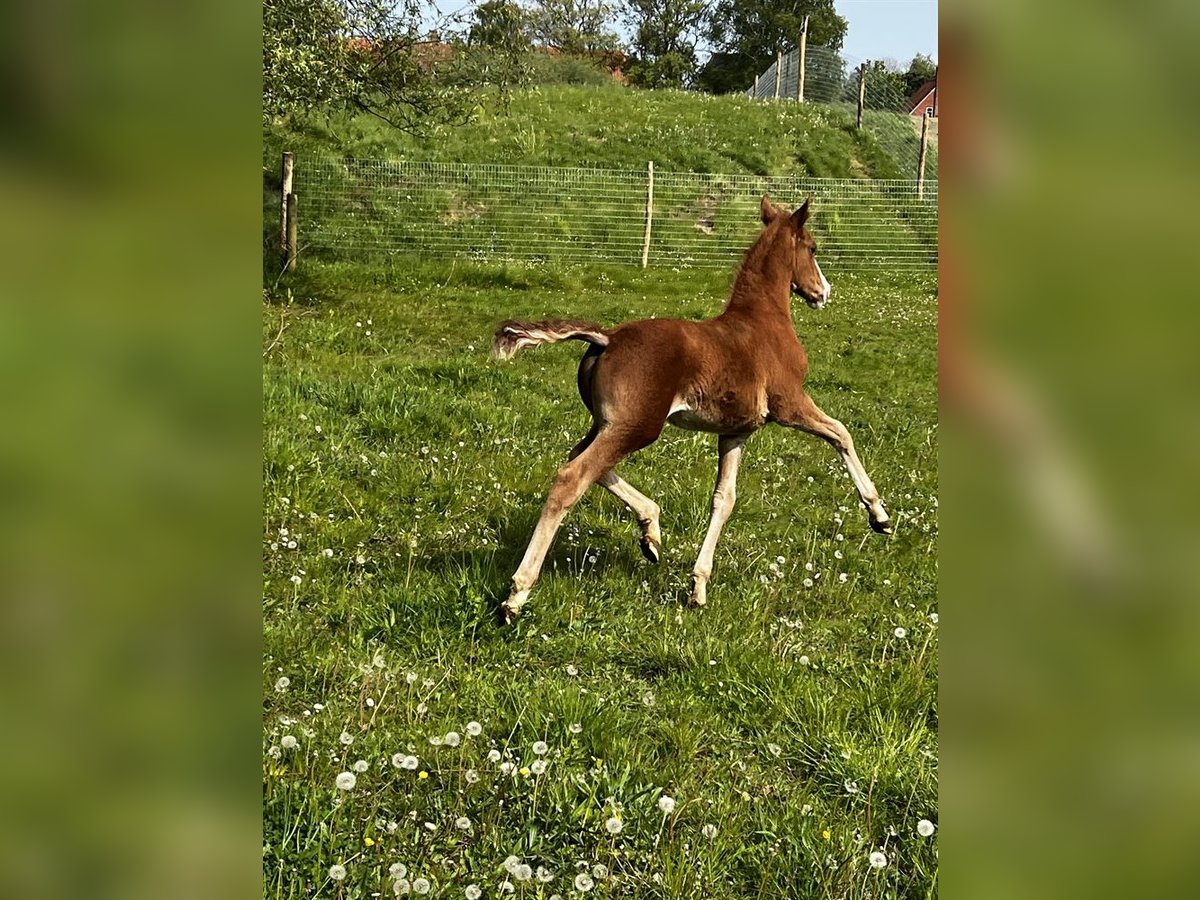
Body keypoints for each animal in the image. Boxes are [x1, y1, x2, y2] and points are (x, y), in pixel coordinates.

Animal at [489, 196, 892, 624]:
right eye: (813, 248)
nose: (823, 292)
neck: (764, 321)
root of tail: (607, 337)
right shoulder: (790, 403)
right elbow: (841, 433)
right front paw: (879, 516)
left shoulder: (735, 431)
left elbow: (724, 498)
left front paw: (698, 586)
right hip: (637, 426)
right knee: (573, 476)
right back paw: (517, 594)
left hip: (607, 423)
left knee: (582, 461)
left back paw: (650, 531)